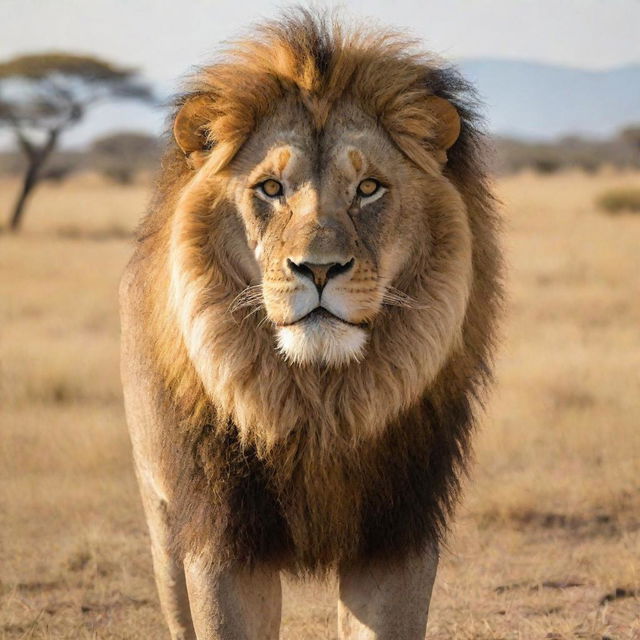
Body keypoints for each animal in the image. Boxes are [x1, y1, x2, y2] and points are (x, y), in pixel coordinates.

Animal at [119, 10, 500, 640]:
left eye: (368, 188)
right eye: (271, 189)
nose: (318, 269)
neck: (318, 403)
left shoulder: (396, 535)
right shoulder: (221, 539)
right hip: (161, 520)